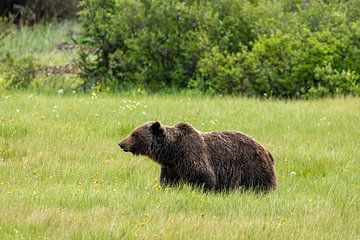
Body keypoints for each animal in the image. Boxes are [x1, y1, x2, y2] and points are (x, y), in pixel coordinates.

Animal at [117, 121, 276, 192]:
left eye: (134, 134)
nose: (121, 143)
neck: (172, 151)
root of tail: (266, 149)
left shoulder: (192, 154)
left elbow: (203, 175)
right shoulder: (171, 166)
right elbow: (169, 180)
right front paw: (168, 189)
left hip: (253, 165)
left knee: (262, 183)